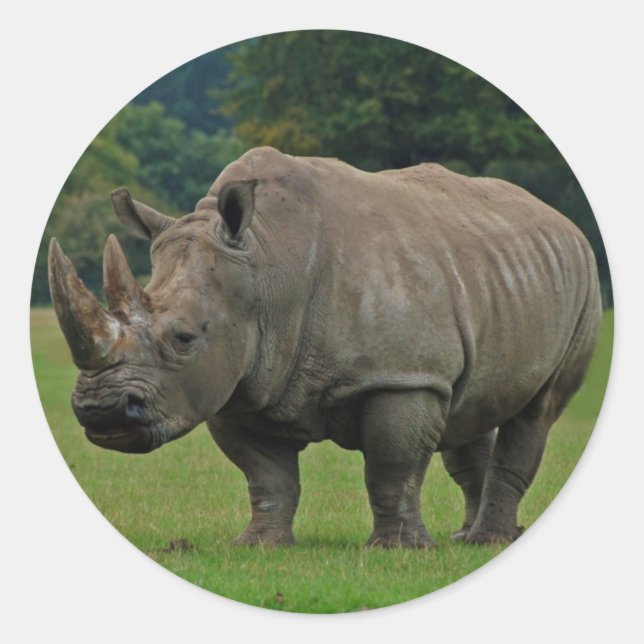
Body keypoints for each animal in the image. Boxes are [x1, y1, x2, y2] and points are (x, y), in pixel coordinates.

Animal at [48, 146, 601, 548]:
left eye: (183, 338)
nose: (101, 412)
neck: (267, 265)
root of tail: (560, 220)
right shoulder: (237, 381)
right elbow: (267, 476)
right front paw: (258, 546)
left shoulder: (401, 376)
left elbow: (392, 466)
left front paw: (398, 550)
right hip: (493, 270)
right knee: (470, 403)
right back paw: (467, 538)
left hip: (583, 280)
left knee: (536, 411)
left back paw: (487, 541)